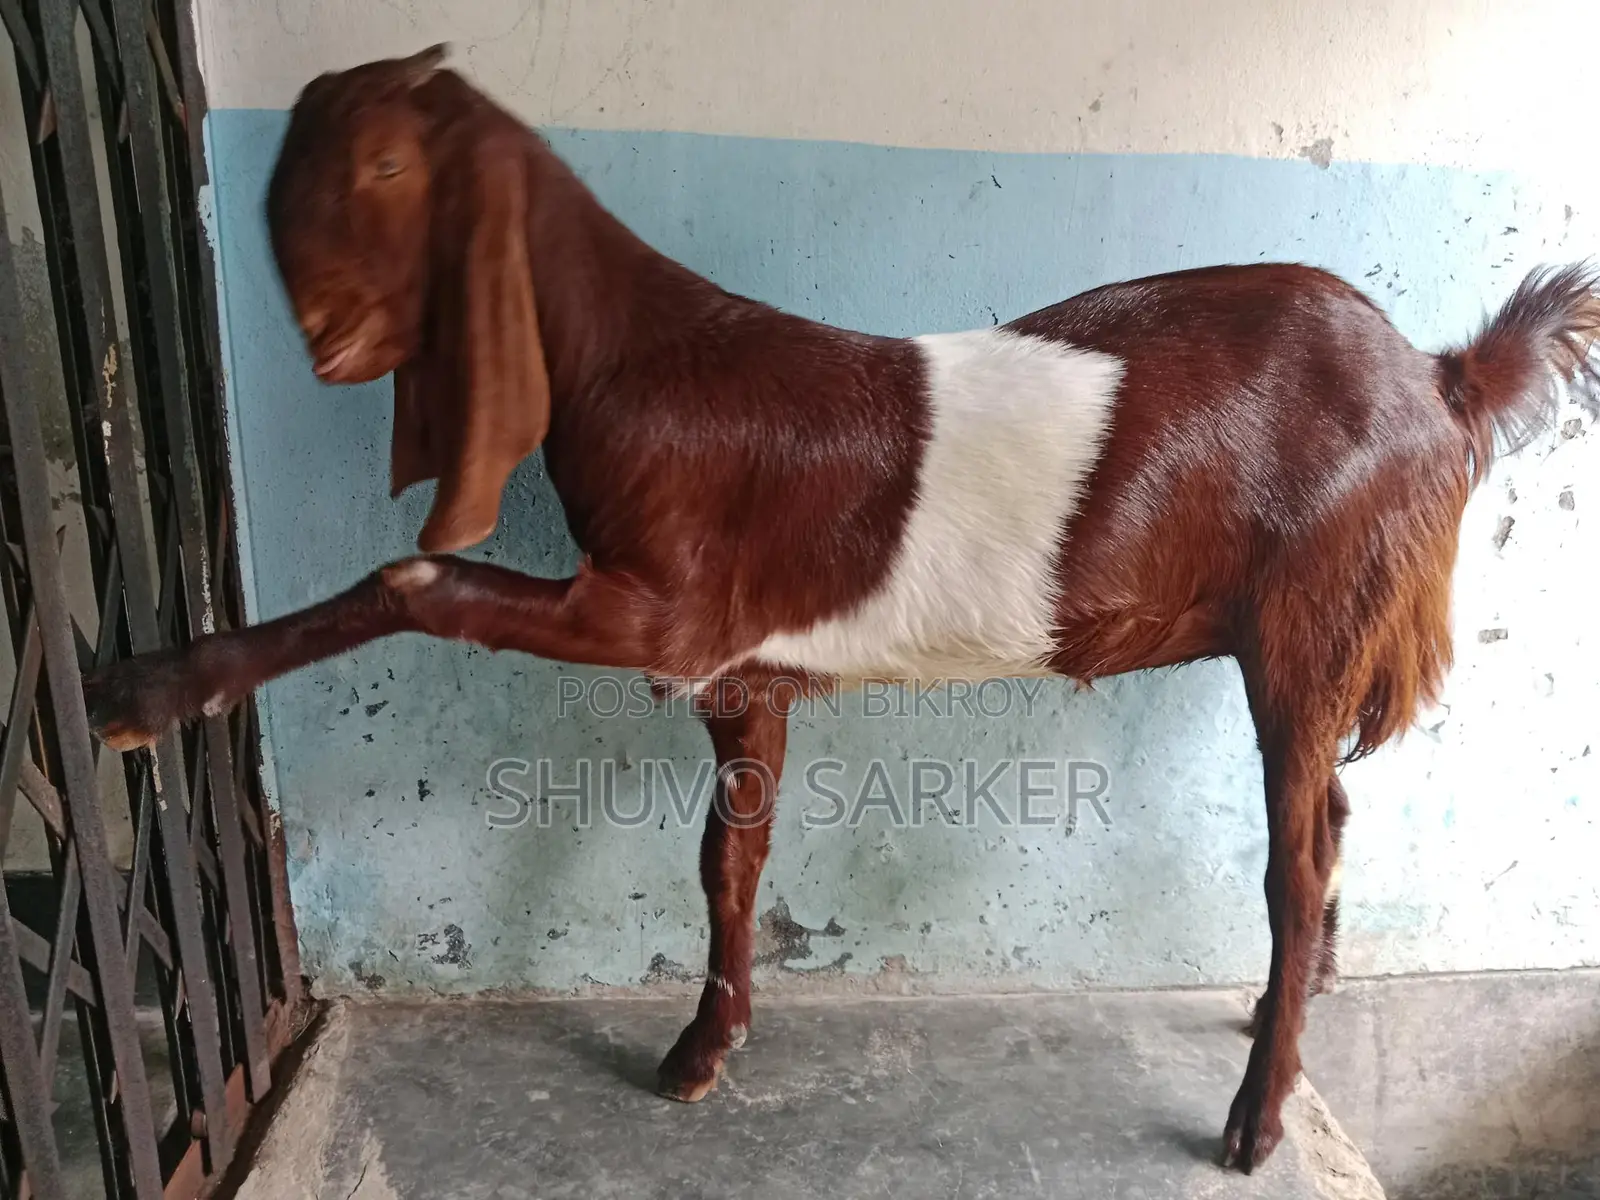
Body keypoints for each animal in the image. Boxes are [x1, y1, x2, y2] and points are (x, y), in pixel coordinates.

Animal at [81, 44, 1600, 1172]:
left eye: (391, 166)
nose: (321, 338)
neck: (641, 365)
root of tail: (1441, 380)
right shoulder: (743, 679)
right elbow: (726, 863)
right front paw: (704, 1049)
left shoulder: (663, 618)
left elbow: (413, 582)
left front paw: (143, 694)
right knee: (1330, 814)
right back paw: (1308, 1002)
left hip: (1307, 615)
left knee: (1295, 854)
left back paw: (1258, 1117)